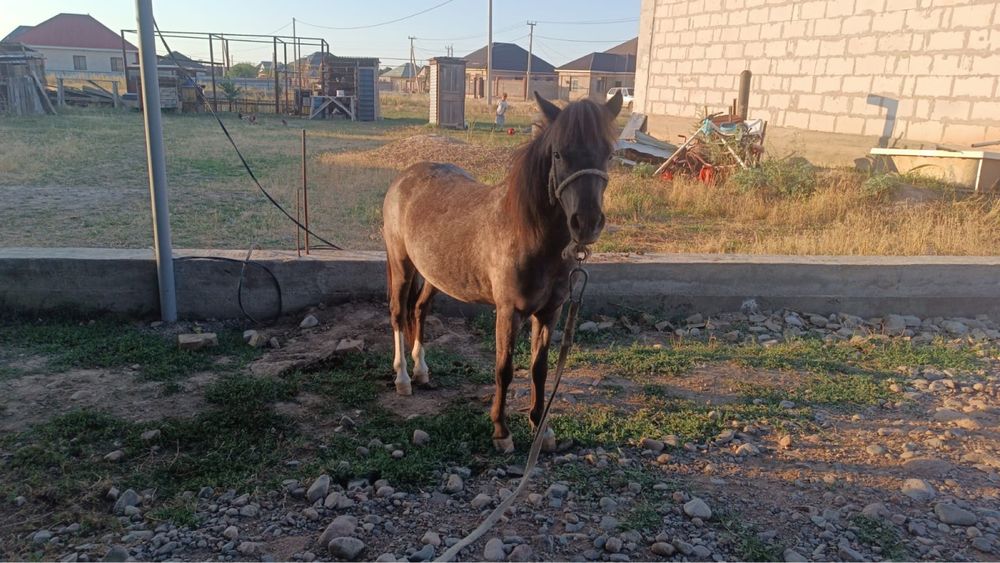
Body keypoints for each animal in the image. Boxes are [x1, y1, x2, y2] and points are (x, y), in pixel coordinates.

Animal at [382, 91, 622, 453]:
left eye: (609, 153)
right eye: (558, 153)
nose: (587, 223)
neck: (530, 235)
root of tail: (403, 178)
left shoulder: (549, 313)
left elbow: (539, 369)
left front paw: (541, 428)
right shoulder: (508, 312)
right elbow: (504, 369)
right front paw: (501, 431)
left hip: (434, 275)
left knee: (419, 310)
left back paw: (422, 370)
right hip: (402, 265)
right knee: (399, 313)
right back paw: (403, 378)